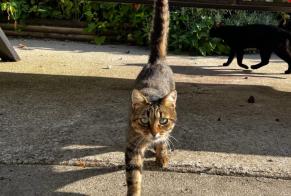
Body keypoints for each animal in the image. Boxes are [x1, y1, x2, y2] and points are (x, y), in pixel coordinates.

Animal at [124, 0, 177, 195]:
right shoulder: (132, 147)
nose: (154, 133)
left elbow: (163, 141)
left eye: (163, 121)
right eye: (144, 121)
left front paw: (162, 154)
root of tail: (156, 61)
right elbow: (134, 177)